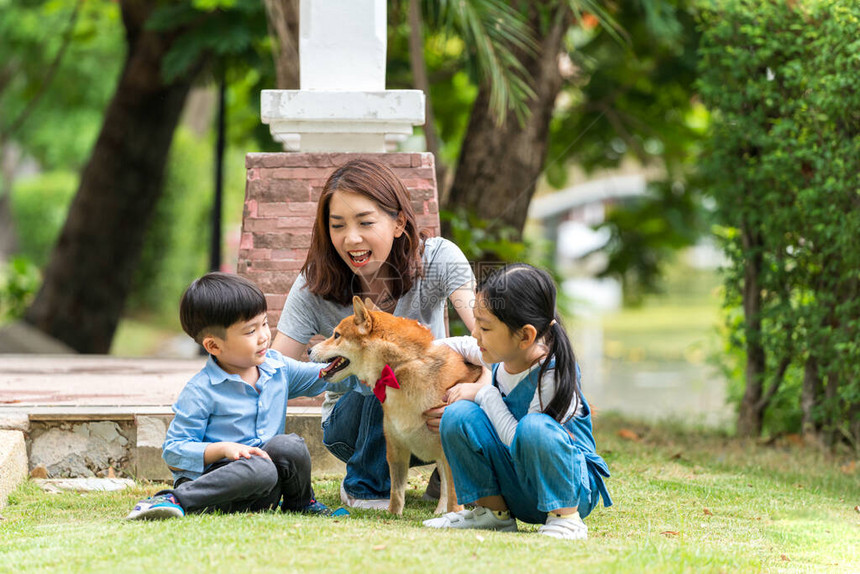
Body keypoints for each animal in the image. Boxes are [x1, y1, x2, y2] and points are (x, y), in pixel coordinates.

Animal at [310, 300, 484, 516]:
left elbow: (455, 494)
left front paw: (455, 515)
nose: (309, 351)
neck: (401, 368)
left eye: (336, 335)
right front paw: (393, 515)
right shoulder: (396, 448)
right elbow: (397, 491)